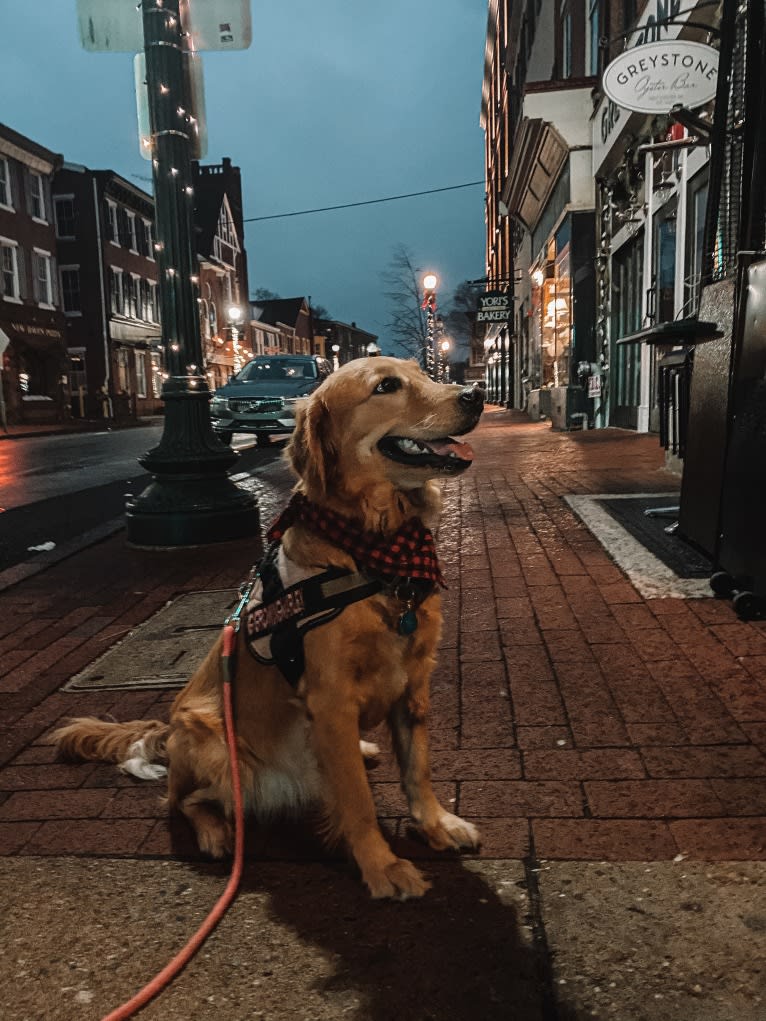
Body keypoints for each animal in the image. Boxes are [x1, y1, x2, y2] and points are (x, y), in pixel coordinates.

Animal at [54, 355, 486, 898]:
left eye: (423, 373)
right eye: (386, 386)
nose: (476, 394)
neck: (374, 550)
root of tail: (166, 733)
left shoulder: (414, 688)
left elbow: (418, 770)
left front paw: (436, 825)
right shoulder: (330, 697)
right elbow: (357, 801)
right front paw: (381, 865)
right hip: (215, 743)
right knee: (184, 802)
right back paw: (215, 832)